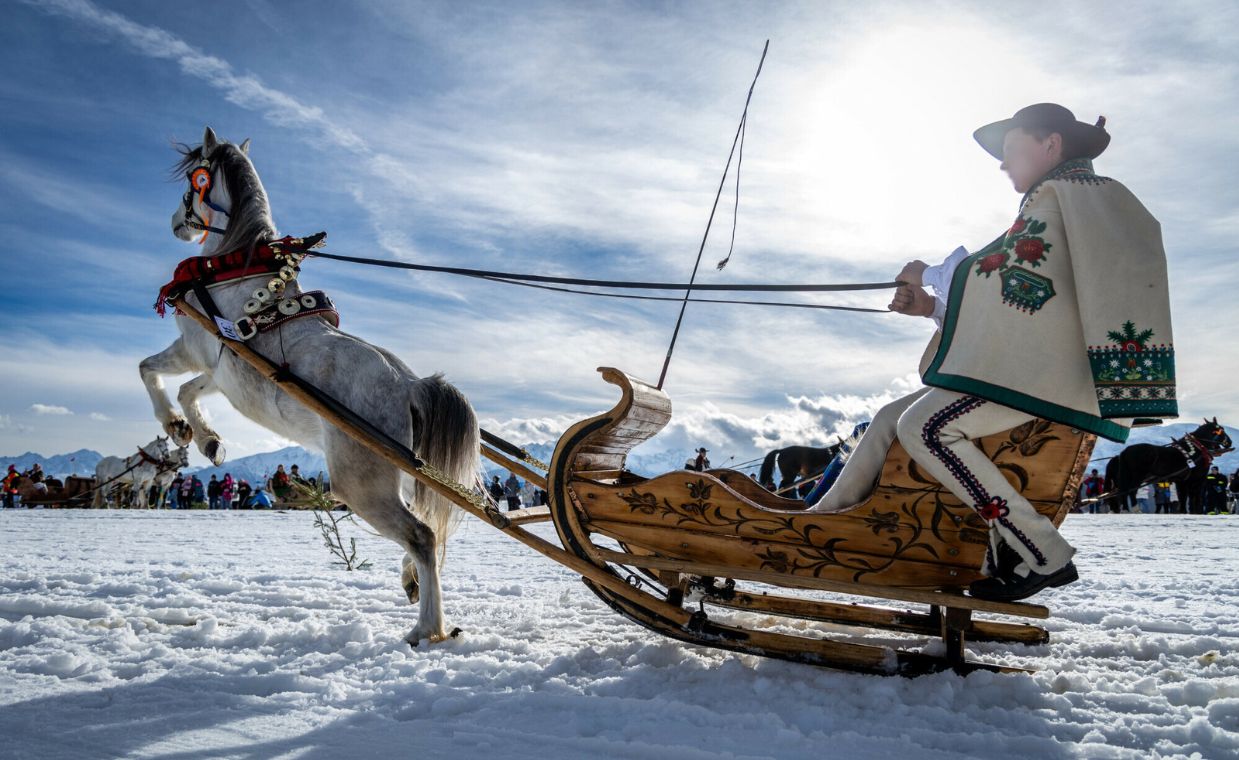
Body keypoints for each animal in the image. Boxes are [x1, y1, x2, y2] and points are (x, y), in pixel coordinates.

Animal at [139, 125, 478, 644]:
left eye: (192, 181)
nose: (177, 222)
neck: (236, 265)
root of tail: (410, 385)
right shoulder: (223, 371)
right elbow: (188, 391)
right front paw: (205, 439)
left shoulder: (193, 346)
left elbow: (150, 371)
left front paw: (177, 426)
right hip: (396, 474)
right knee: (426, 531)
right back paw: (412, 583)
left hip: (360, 483)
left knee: (422, 534)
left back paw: (428, 628)